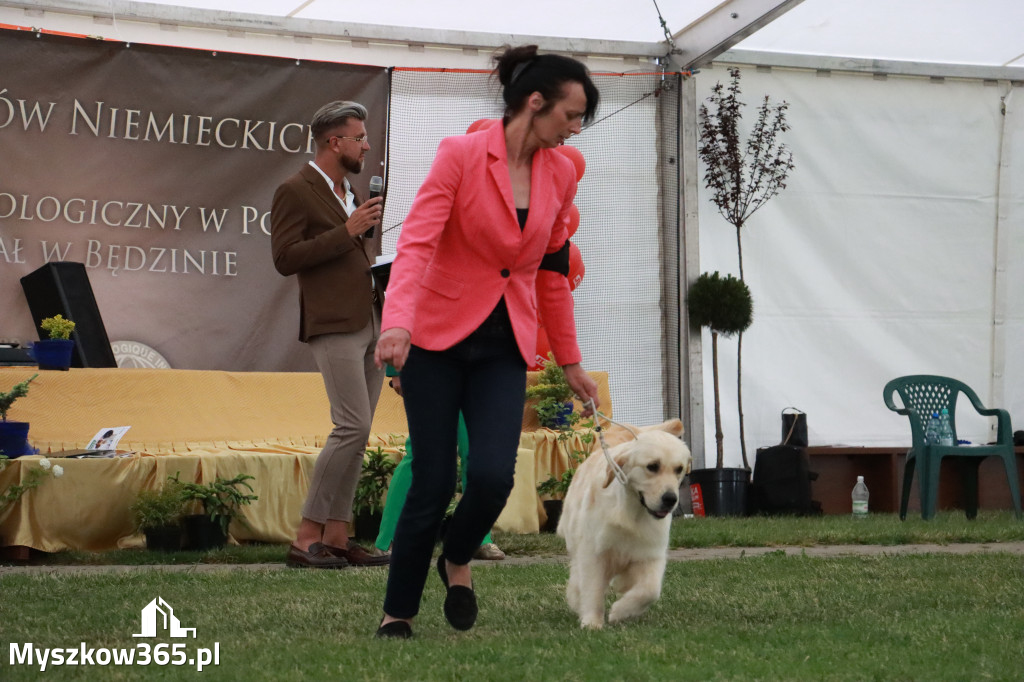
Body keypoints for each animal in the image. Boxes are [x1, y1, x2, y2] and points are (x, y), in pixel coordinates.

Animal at [557, 425, 692, 626]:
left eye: (679, 469)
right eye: (652, 466)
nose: (670, 499)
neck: (632, 512)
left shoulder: (651, 554)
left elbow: (650, 590)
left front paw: (621, 612)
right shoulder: (593, 552)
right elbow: (592, 588)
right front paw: (592, 621)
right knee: (577, 576)